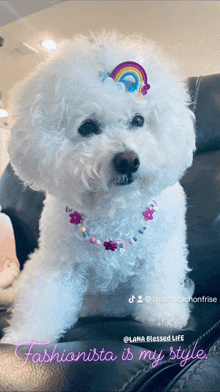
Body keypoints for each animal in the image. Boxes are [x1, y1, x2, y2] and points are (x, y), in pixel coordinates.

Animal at [1, 31, 195, 344]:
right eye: (88, 127)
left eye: (138, 120)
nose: (128, 161)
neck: (114, 208)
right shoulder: (60, 264)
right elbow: (45, 300)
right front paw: (25, 337)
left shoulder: (161, 252)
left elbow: (159, 282)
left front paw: (164, 318)